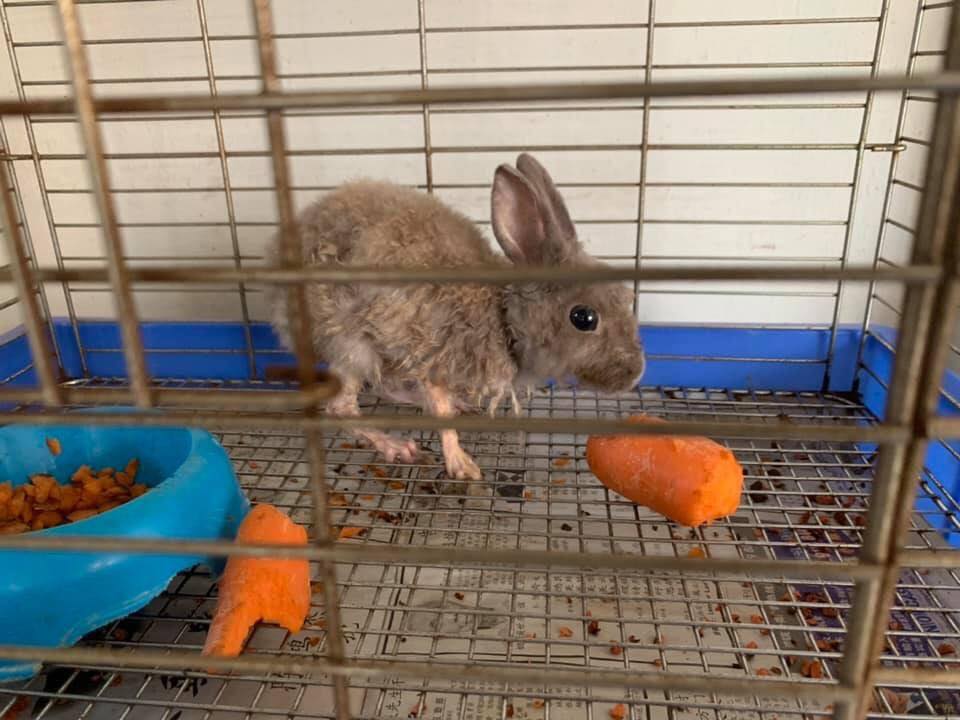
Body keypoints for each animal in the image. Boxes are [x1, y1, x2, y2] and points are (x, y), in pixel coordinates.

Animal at [267, 153, 646, 494]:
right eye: (584, 318)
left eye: (626, 298)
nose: (635, 374)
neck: (504, 316)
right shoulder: (435, 354)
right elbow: (441, 415)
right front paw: (462, 466)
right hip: (351, 342)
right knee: (341, 406)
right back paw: (396, 446)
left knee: (385, 386)